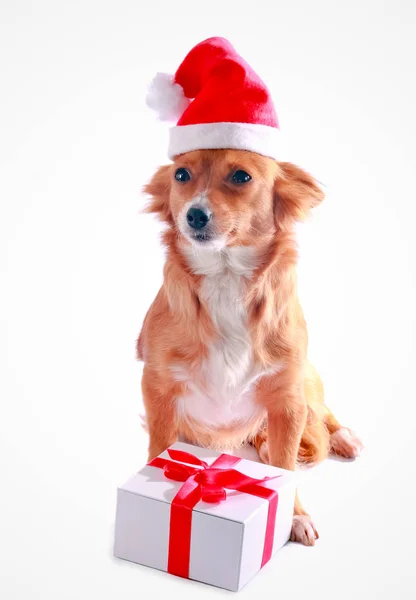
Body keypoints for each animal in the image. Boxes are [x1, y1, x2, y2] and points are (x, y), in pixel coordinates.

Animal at [137, 149, 364, 544]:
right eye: (181, 175)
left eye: (241, 177)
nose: (194, 214)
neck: (225, 279)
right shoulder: (158, 389)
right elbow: (159, 446)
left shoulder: (288, 401)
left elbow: (286, 466)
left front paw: (294, 516)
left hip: (304, 382)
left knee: (323, 412)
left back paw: (345, 438)